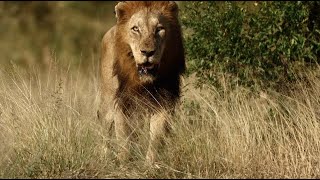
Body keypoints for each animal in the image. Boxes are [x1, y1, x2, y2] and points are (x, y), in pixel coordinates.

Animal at [97, 0, 185, 165]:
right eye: (135, 29)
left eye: (159, 29)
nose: (148, 52)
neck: (142, 82)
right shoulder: (120, 101)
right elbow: (123, 136)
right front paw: (124, 162)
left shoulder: (164, 101)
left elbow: (156, 137)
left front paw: (151, 164)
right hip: (107, 101)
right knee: (105, 131)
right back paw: (103, 157)